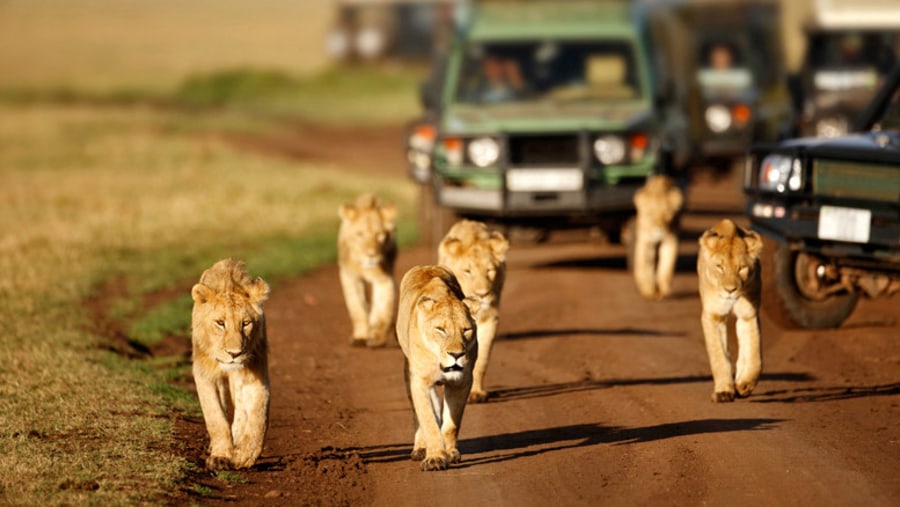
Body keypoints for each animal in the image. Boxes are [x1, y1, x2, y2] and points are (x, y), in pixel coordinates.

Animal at [190, 260, 270, 470]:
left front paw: (245, 454)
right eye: (220, 323)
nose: (235, 354)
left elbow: (259, 416)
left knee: (241, 410)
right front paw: (220, 456)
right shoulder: (204, 374)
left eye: (246, 323)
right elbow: (215, 417)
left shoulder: (255, 374)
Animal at [338, 192, 398, 348]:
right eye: (360, 234)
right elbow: (357, 308)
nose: (371, 255)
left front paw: (377, 338)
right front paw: (360, 337)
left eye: (380, 235)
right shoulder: (350, 277)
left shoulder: (384, 278)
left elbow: (383, 309)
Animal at [396, 266, 478, 472]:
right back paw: (419, 448)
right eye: (440, 329)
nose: (456, 354)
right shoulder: (420, 383)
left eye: (466, 330)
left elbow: (451, 424)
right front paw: (435, 458)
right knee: (418, 415)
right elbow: (428, 421)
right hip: (409, 374)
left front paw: (450, 453)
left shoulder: (462, 382)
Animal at [436, 220, 506, 402]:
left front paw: (476, 393)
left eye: (490, 270)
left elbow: (481, 360)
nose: (482, 294)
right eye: (467, 271)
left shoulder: (490, 319)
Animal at [700, 220, 764, 402]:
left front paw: (745, 384)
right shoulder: (713, 316)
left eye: (741, 268)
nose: (730, 290)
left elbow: (755, 355)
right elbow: (719, 357)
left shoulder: (748, 314)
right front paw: (724, 391)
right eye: (719, 267)